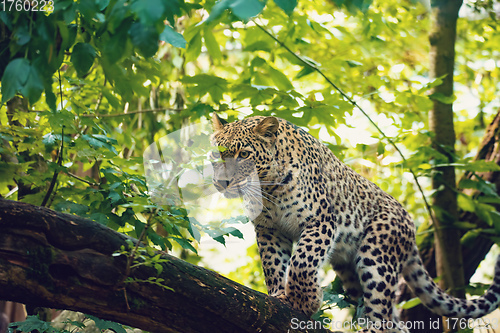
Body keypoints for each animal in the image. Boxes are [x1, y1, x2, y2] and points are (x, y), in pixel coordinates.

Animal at [209, 113, 500, 330]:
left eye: (244, 155)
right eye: (215, 155)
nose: (222, 182)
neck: (268, 189)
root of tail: (410, 225)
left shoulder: (321, 221)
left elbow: (302, 261)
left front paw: (305, 301)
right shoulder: (268, 230)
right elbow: (272, 266)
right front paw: (280, 295)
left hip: (377, 256)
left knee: (381, 315)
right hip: (350, 272)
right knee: (393, 321)